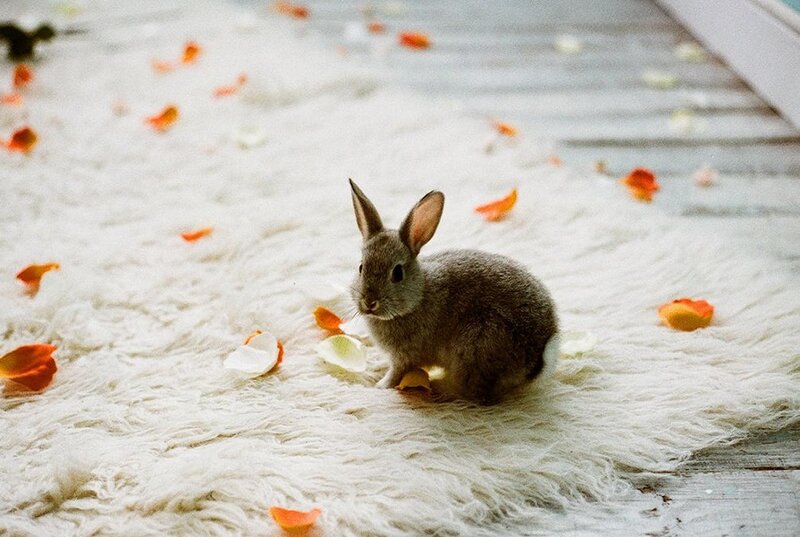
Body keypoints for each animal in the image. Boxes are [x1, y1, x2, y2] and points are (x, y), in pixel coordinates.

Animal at [348, 179, 559, 405]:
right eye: (361, 267)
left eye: (397, 273)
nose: (370, 302)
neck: (418, 297)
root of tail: (538, 356)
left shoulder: (405, 356)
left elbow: (397, 373)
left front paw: (380, 385)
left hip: (476, 345)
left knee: (475, 394)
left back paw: (443, 391)